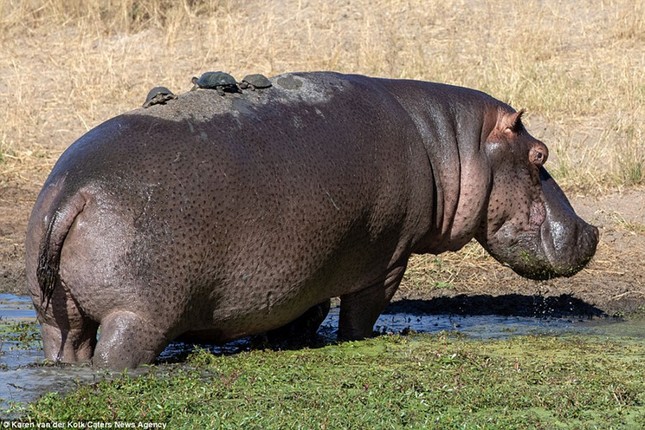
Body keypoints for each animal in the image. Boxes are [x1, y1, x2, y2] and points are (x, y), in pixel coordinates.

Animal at [25, 72, 600, 368]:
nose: (591, 231)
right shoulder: (386, 258)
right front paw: (360, 340)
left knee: (66, 345)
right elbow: (359, 314)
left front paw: (289, 339)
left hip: (55, 310)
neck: (452, 143)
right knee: (114, 354)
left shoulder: (311, 268)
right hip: (138, 315)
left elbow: (305, 310)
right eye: (541, 155)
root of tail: (73, 192)